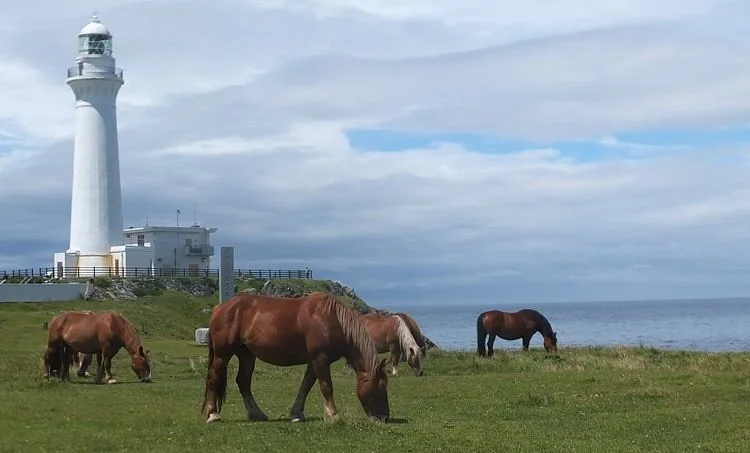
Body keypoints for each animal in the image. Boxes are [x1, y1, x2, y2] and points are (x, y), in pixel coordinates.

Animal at [201, 291, 390, 424]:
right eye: (380, 386)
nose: (384, 416)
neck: (332, 319)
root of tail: (220, 308)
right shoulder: (320, 359)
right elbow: (326, 386)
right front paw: (333, 415)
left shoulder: (314, 362)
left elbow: (305, 386)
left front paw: (297, 413)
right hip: (222, 354)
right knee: (213, 377)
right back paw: (213, 414)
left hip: (247, 354)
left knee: (243, 382)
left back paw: (256, 413)